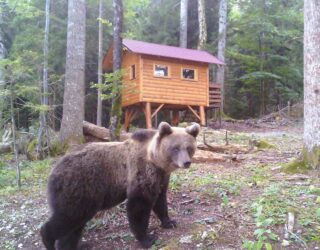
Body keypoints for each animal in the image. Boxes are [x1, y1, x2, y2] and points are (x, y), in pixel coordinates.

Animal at [40, 122, 200, 249]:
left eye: (189, 147)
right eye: (175, 148)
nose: (186, 162)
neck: (156, 161)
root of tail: (54, 171)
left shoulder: (161, 177)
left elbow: (160, 200)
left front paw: (169, 221)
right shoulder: (140, 172)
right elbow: (139, 206)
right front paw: (147, 239)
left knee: (74, 226)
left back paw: (75, 245)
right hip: (80, 187)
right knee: (70, 216)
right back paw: (48, 238)